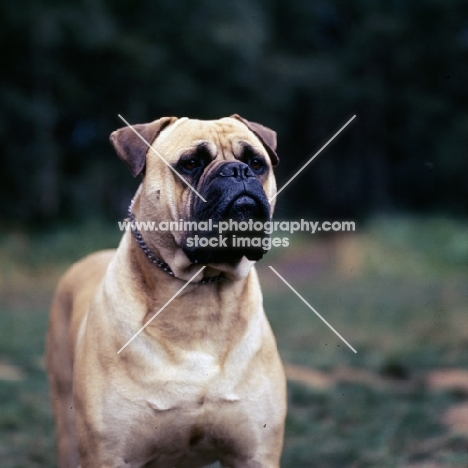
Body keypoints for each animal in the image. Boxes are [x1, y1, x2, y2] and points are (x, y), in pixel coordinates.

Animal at [48, 114, 288, 468]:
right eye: (190, 164)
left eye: (256, 163)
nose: (237, 170)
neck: (200, 291)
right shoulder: (109, 455)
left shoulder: (255, 453)